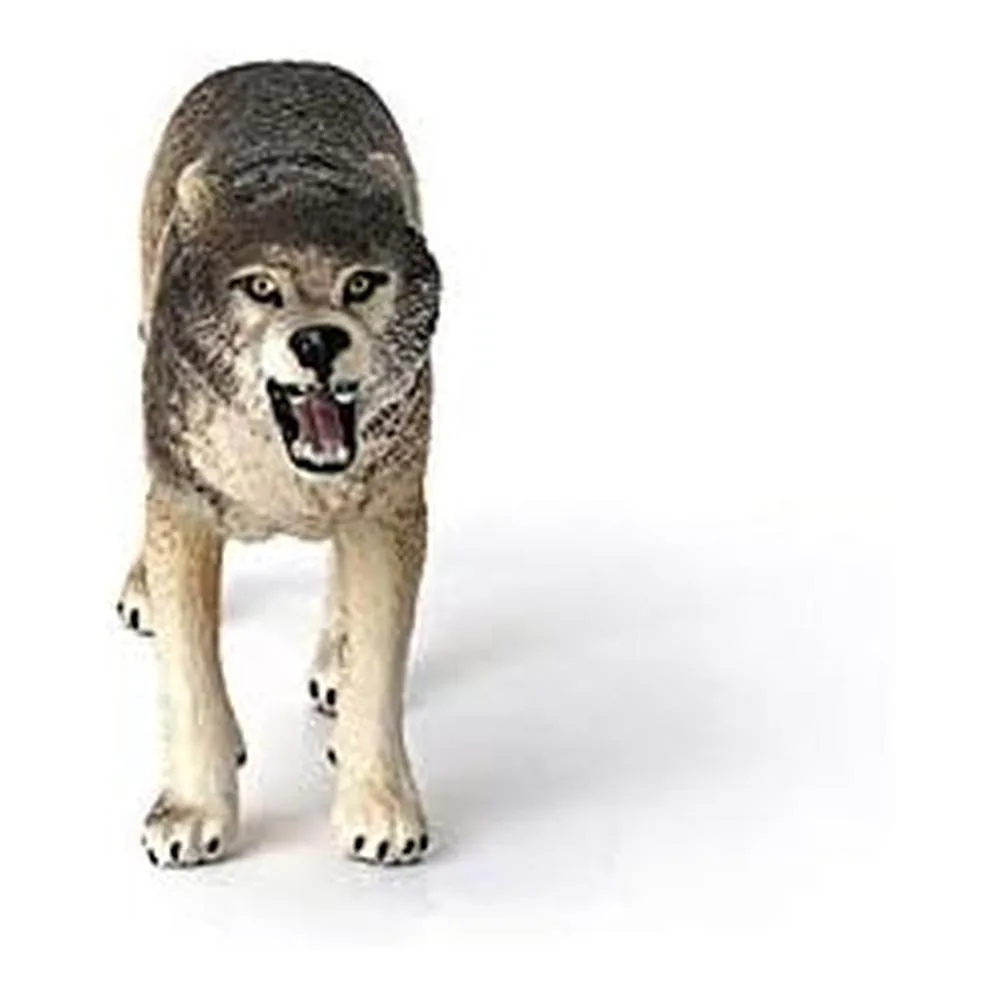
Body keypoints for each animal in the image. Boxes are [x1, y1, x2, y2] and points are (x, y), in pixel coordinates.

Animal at [116, 62, 441, 867]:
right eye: (262, 287)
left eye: (361, 283)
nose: (318, 340)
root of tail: (279, 61)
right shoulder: (184, 513)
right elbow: (189, 676)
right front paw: (192, 814)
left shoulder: (391, 514)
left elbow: (378, 667)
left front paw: (380, 808)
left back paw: (332, 659)